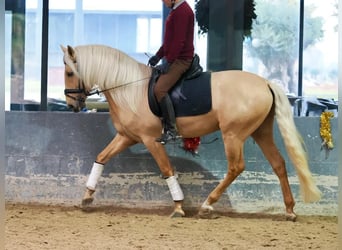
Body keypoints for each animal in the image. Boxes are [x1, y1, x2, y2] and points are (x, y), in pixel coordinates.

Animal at [61, 45, 320, 221]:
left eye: (70, 72)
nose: (72, 105)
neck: (129, 88)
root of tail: (265, 83)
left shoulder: (150, 139)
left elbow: (167, 170)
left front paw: (178, 206)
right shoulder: (127, 136)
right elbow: (101, 157)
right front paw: (87, 197)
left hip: (233, 135)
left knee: (236, 167)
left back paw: (207, 205)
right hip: (260, 132)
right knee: (278, 164)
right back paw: (289, 210)